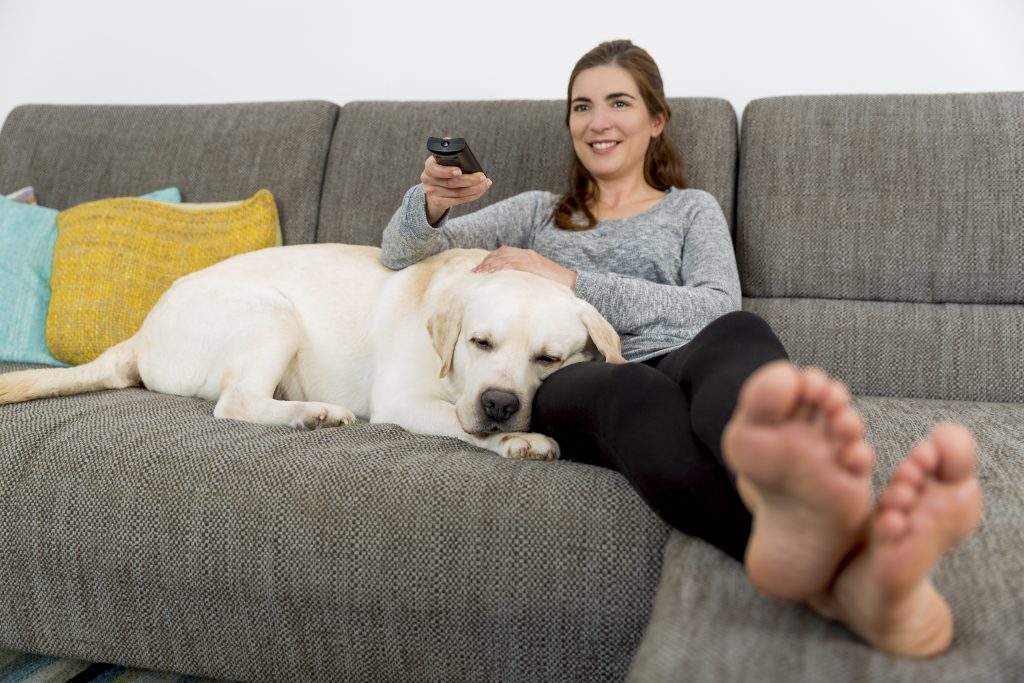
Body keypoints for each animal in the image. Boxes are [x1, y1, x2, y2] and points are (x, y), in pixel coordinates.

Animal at [0, 242, 622, 462]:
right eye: (480, 342)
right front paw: (518, 439)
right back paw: (313, 413)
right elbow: (456, 421)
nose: (498, 404)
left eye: (549, 359)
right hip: (272, 313)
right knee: (236, 403)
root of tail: (142, 331)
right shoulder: (404, 401)